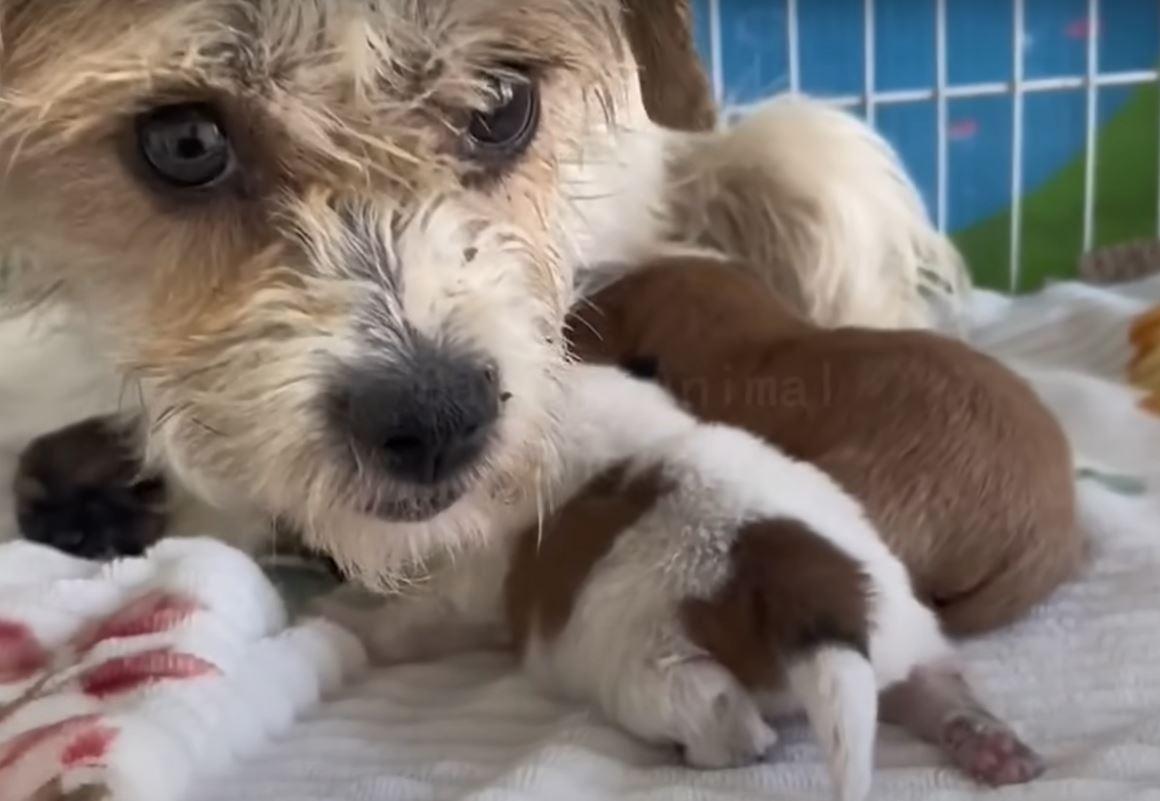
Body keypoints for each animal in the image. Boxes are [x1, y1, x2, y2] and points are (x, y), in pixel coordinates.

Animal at [324, 363, 1044, 801]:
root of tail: (806, 586)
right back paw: (988, 744)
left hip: (656, 674)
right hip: (901, 633)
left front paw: (341, 621)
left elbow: (406, 619)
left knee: (730, 724)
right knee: (934, 689)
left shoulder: (466, 587)